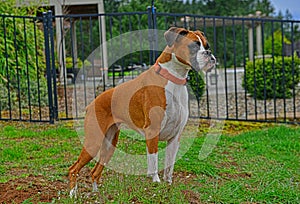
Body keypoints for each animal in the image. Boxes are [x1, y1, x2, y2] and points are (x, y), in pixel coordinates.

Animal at [68, 26, 216, 197]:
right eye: (193, 46)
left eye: (207, 46)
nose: (209, 53)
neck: (173, 78)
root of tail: (91, 104)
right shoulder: (152, 132)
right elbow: (153, 160)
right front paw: (155, 182)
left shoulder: (175, 137)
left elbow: (169, 165)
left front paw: (168, 184)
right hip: (94, 142)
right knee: (73, 168)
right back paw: (72, 194)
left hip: (109, 145)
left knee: (95, 172)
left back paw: (96, 194)